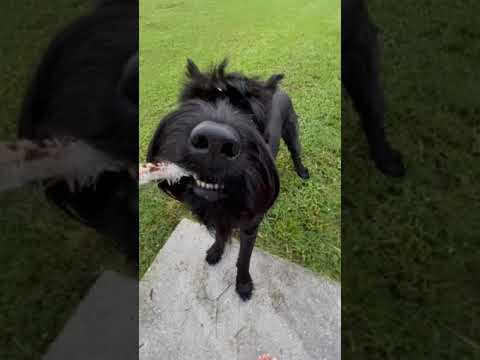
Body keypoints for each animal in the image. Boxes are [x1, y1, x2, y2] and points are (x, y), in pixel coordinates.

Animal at [148, 59, 310, 300]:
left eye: (251, 117)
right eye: (196, 100)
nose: (214, 141)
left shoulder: (250, 227)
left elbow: (244, 258)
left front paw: (243, 284)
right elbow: (220, 234)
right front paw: (217, 250)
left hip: (292, 132)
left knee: (296, 153)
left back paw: (302, 172)